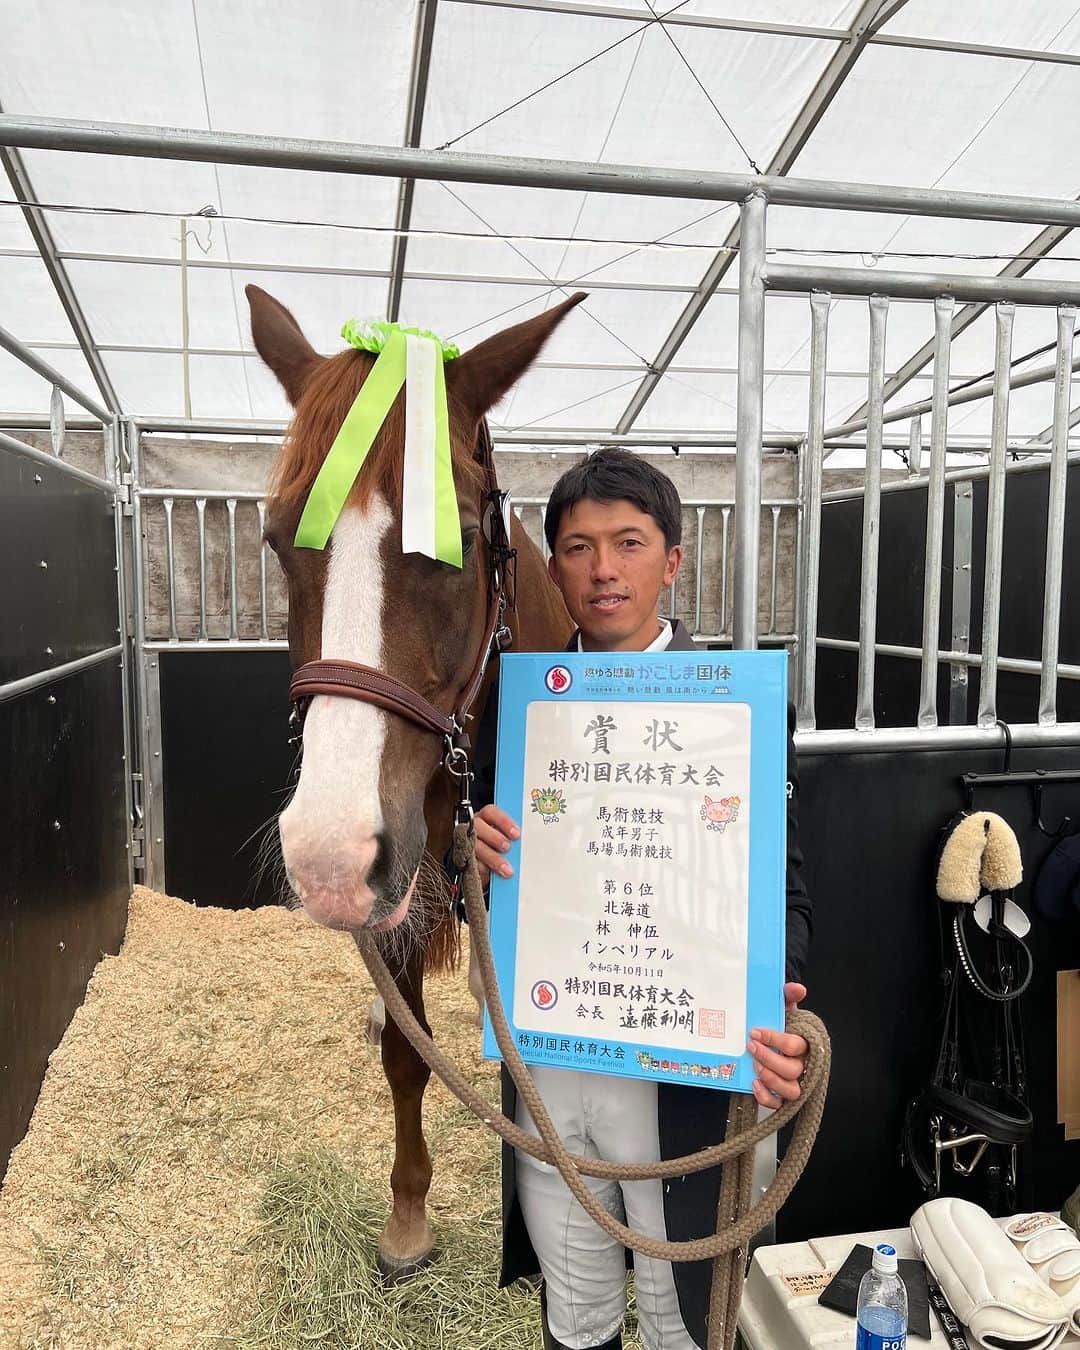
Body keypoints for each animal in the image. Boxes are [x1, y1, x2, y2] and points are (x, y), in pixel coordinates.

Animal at [246, 283, 579, 1276]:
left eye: (462, 538)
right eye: (278, 540)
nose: (325, 855)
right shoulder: (399, 877)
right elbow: (405, 1050)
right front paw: (407, 1218)